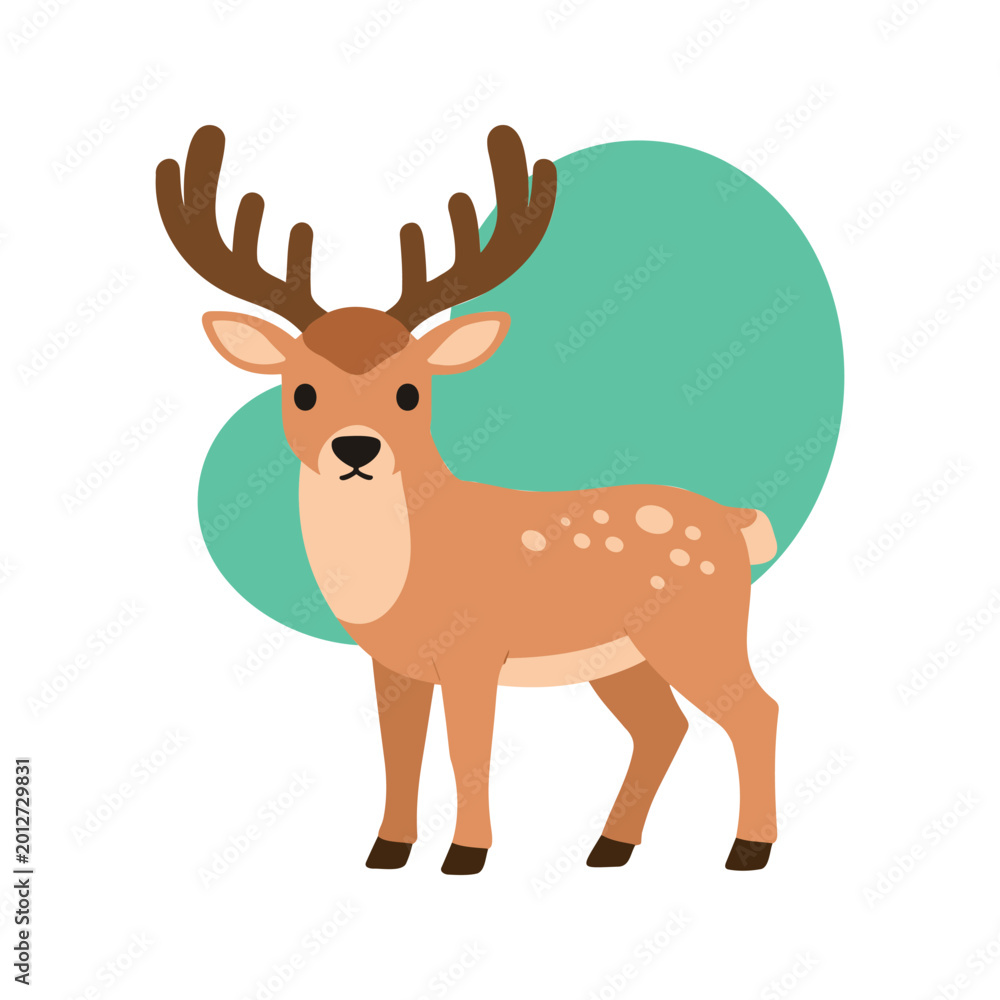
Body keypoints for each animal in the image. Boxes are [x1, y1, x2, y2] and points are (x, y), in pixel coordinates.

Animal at [156, 124, 780, 875]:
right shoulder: (392, 663)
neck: (403, 573)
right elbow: (400, 751)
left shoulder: (476, 649)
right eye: (303, 391)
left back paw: (748, 849)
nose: (356, 449)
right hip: (621, 655)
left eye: (410, 391)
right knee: (665, 725)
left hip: (697, 624)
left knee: (755, 710)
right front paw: (387, 849)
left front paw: (466, 855)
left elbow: (466, 751)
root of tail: (737, 523)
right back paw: (609, 848)